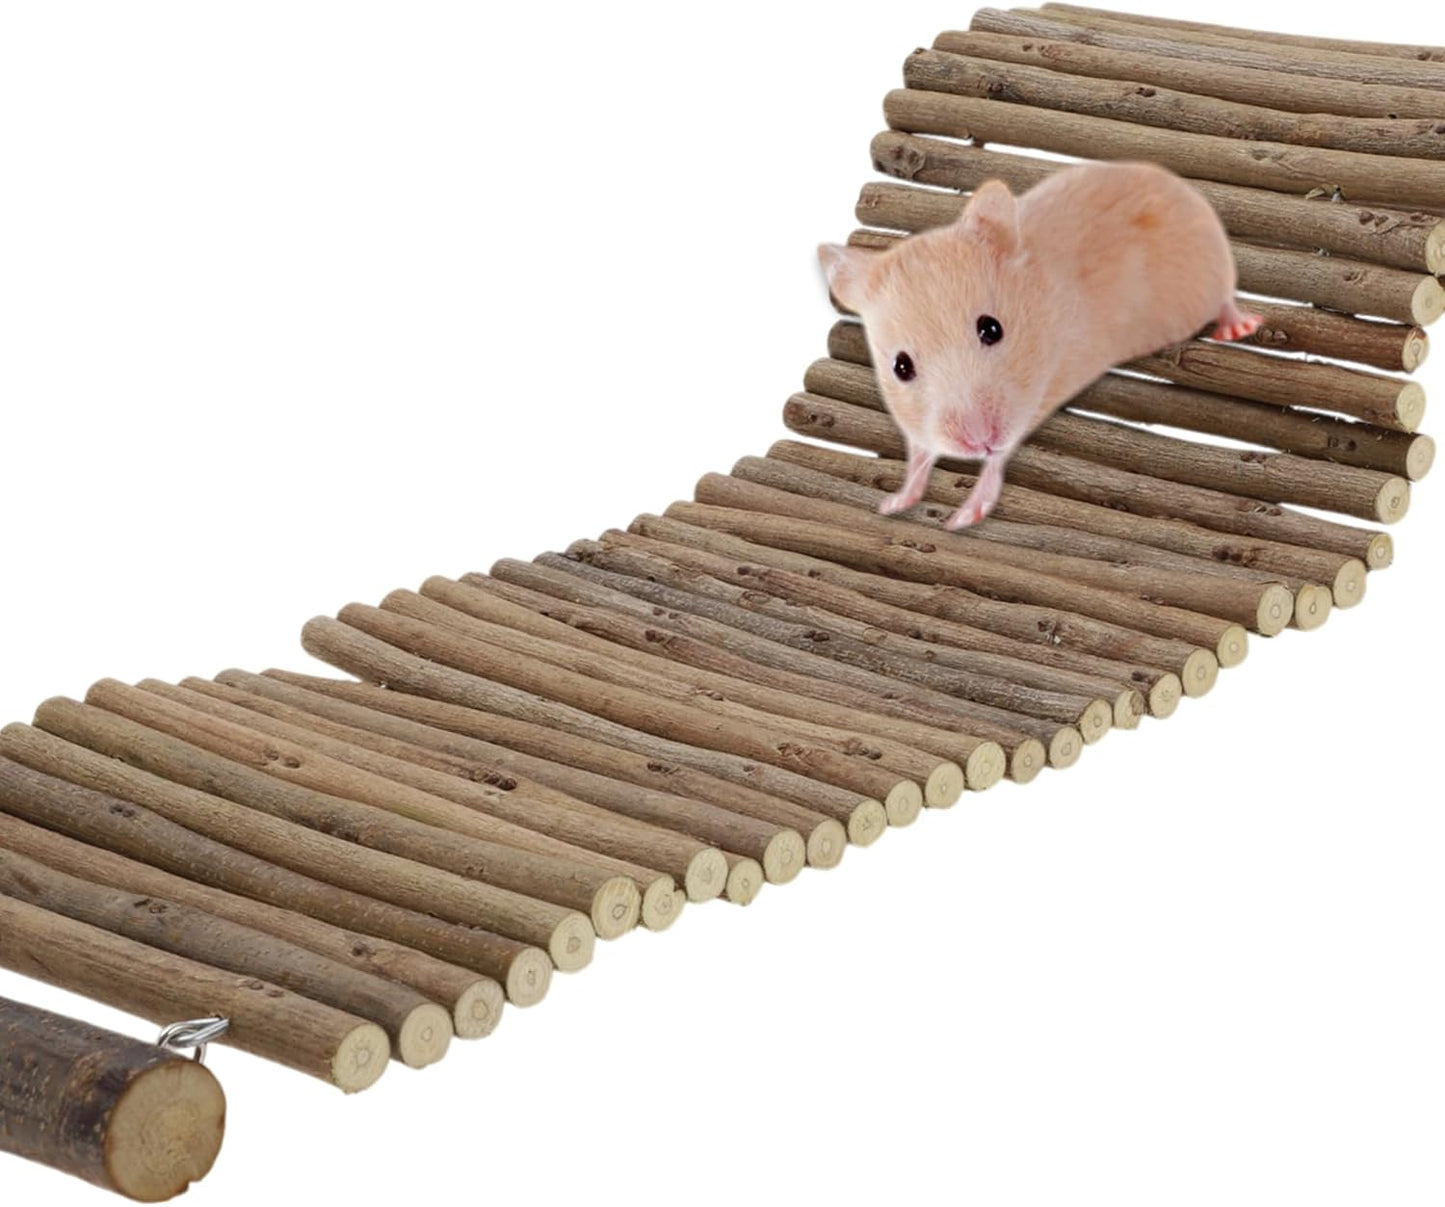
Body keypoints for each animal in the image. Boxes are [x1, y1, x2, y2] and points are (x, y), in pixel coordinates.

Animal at [818, 161, 1261, 528]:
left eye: (992, 329)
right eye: (901, 367)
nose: (979, 440)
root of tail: (1172, 181)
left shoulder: (1036, 398)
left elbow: (998, 462)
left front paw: (960, 520)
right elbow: (919, 459)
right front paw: (891, 504)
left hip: (1209, 274)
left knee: (1227, 297)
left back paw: (1239, 327)